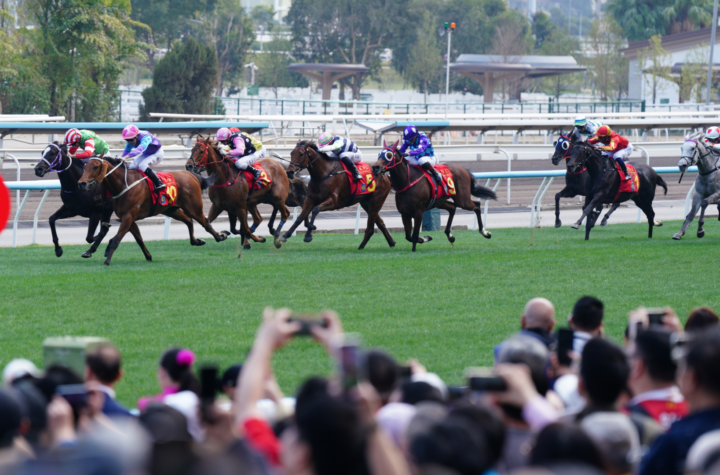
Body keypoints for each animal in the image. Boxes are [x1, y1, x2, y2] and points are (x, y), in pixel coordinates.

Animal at [78, 157, 228, 265]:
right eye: (85, 166)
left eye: (95, 167)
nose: (82, 183)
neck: (124, 184)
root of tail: (191, 175)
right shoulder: (128, 218)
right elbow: (139, 239)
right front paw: (148, 256)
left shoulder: (128, 216)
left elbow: (116, 239)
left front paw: (107, 259)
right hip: (171, 210)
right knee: (189, 221)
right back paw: (197, 241)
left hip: (193, 208)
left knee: (205, 223)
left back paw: (220, 236)